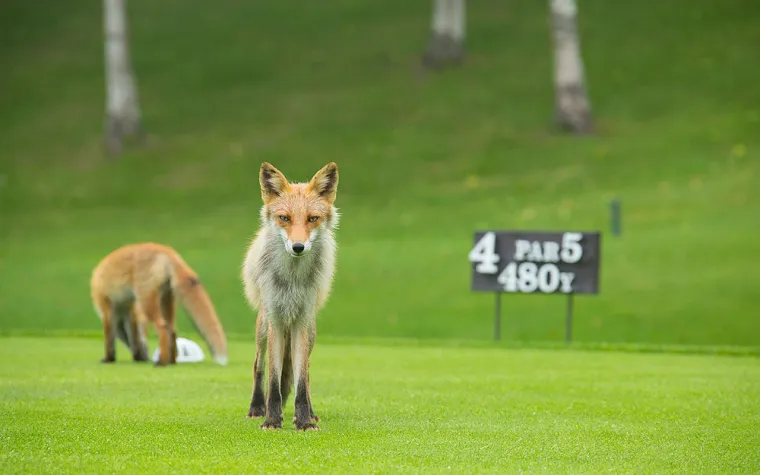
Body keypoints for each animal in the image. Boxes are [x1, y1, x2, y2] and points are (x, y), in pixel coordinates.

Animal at [90, 242, 229, 367]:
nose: (145, 357)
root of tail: (168, 251)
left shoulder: (107, 307)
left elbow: (109, 339)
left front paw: (109, 359)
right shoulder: (130, 312)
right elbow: (133, 338)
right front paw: (136, 356)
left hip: (147, 301)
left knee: (162, 327)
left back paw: (161, 362)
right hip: (166, 300)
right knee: (172, 330)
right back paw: (171, 361)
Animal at [241, 161, 340, 431]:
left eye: (313, 219)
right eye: (284, 218)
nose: (298, 247)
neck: (292, 283)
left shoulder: (301, 322)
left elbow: (301, 380)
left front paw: (304, 421)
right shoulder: (275, 319)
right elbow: (274, 382)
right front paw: (272, 420)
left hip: (311, 331)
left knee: (303, 374)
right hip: (263, 327)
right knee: (259, 366)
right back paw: (257, 407)